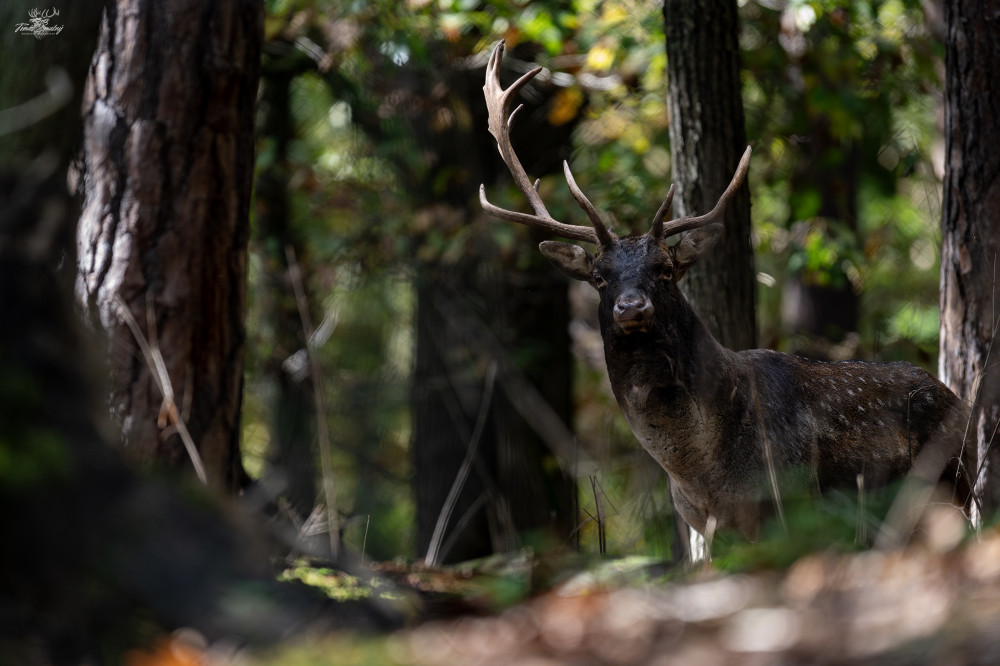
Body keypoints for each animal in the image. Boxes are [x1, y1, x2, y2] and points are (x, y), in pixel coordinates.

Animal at [480, 41, 972, 536]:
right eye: (599, 276)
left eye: (665, 268)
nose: (631, 307)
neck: (701, 472)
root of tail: (959, 399)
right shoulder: (702, 521)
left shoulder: (795, 497)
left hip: (952, 485)